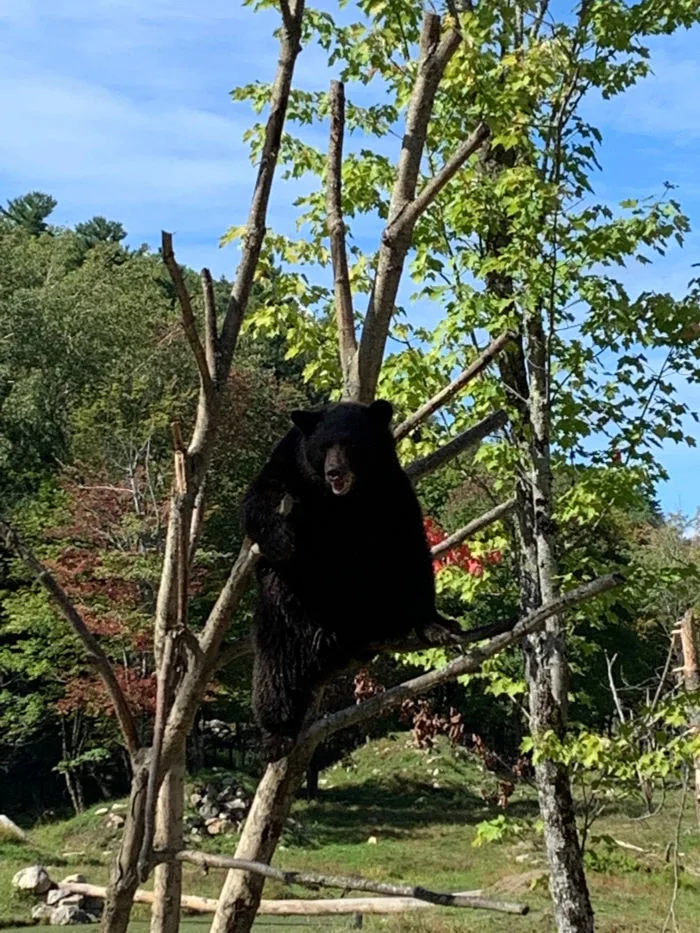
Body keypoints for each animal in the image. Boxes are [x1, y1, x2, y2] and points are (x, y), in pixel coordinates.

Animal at [241, 398, 460, 756]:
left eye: (352, 443)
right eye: (324, 446)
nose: (335, 472)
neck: (343, 498)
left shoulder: (390, 490)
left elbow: (409, 548)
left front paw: (437, 623)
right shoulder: (287, 469)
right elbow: (259, 502)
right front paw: (282, 539)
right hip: (287, 619)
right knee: (276, 666)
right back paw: (279, 731)